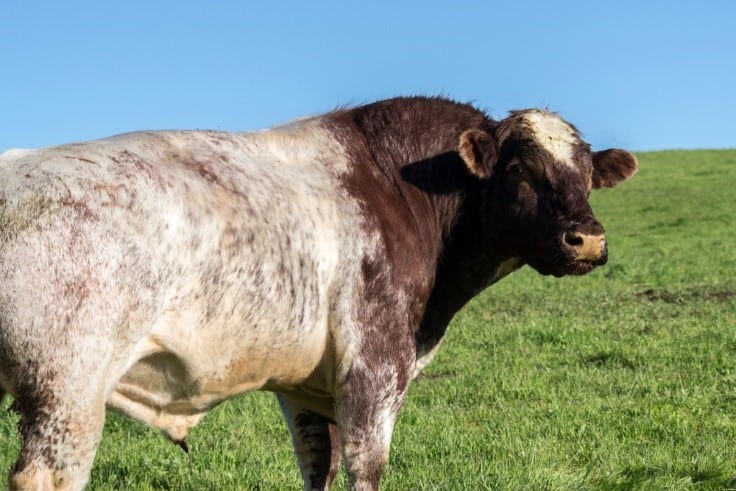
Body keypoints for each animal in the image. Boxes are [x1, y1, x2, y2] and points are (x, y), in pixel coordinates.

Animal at [0, 96, 637, 490]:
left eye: (587, 173)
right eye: (519, 171)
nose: (588, 239)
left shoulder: (307, 387)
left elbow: (319, 466)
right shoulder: (374, 366)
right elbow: (366, 466)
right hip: (68, 393)